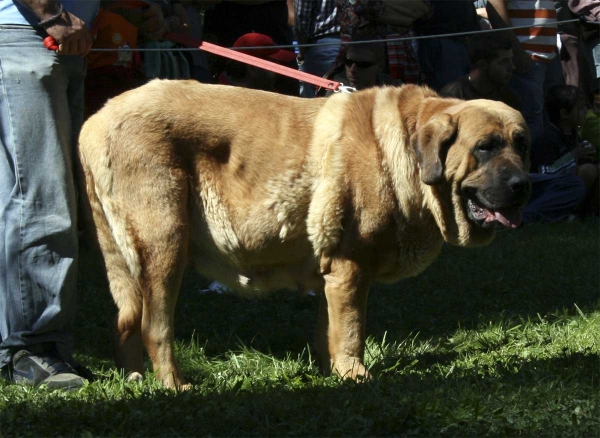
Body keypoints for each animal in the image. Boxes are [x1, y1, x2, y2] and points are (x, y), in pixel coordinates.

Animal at [78, 80, 528, 388]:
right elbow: (352, 330)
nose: (524, 184)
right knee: (155, 327)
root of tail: (94, 122)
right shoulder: (351, 268)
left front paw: (333, 374)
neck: (400, 148)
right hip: (165, 245)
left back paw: (136, 379)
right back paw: (174, 385)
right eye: (485, 147)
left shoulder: (334, 275)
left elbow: (329, 330)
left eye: (521, 144)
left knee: (124, 322)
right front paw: (355, 375)